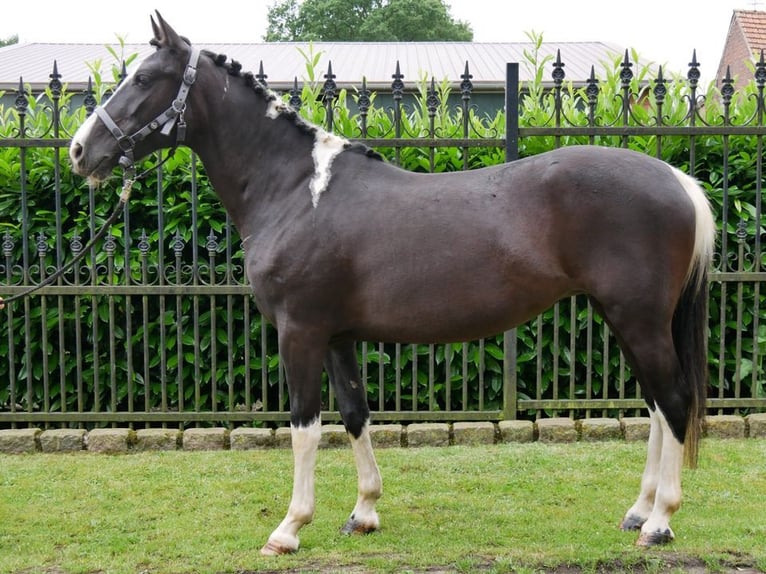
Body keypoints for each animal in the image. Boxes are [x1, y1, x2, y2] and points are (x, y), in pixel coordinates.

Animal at [69, 12, 716, 560]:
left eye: (144, 78)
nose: (80, 150)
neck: (296, 191)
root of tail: (677, 178)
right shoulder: (337, 337)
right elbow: (356, 414)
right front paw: (363, 513)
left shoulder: (300, 333)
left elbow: (305, 425)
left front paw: (289, 528)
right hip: (624, 318)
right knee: (656, 404)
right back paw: (638, 512)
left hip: (636, 318)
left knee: (673, 400)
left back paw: (660, 523)